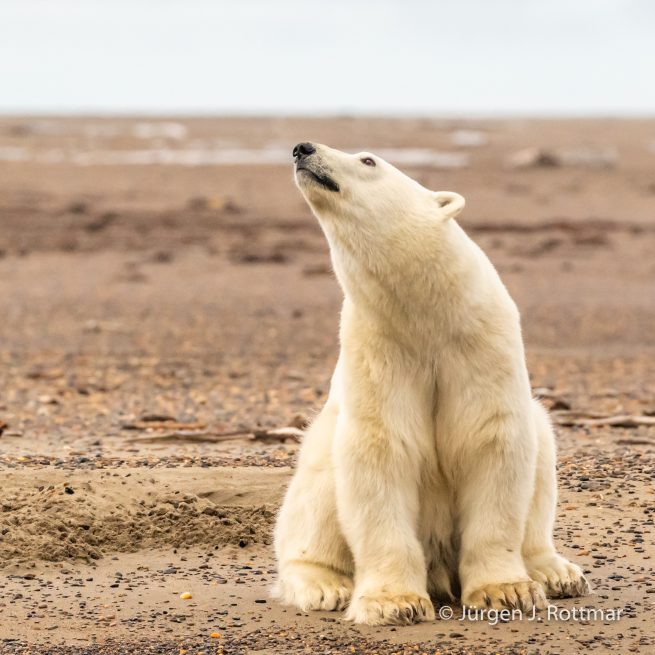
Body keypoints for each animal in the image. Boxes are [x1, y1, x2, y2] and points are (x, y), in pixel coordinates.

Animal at [273, 142, 590, 626]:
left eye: (369, 160)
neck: (427, 316)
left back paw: (555, 571)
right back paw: (324, 585)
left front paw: (506, 591)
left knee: (540, 448)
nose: (302, 148)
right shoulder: (379, 350)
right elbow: (380, 451)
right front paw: (392, 603)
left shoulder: (480, 344)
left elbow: (492, 440)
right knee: (315, 497)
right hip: (319, 458)